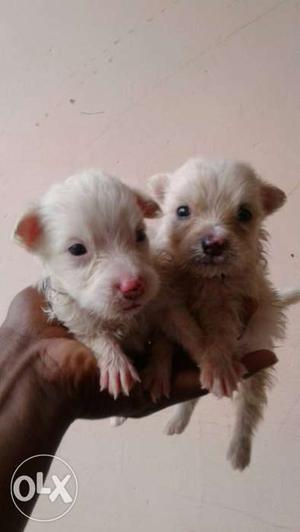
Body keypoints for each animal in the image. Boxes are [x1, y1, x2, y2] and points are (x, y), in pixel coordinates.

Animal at [13, 170, 162, 400]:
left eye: (140, 235)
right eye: (76, 249)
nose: (133, 285)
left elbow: (164, 339)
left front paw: (158, 371)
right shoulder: (72, 313)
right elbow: (94, 335)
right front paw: (116, 364)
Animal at [149, 158, 298, 470]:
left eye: (244, 214)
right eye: (182, 211)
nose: (214, 243)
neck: (202, 278)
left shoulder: (228, 302)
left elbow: (217, 334)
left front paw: (217, 366)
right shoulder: (166, 301)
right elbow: (171, 337)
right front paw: (158, 372)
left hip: (257, 363)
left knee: (249, 408)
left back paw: (239, 452)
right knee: (191, 397)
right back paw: (176, 422)